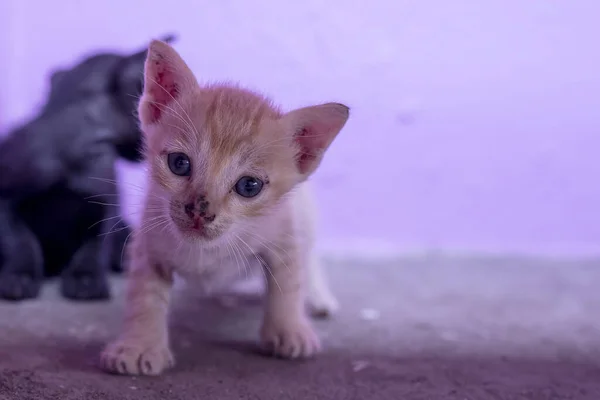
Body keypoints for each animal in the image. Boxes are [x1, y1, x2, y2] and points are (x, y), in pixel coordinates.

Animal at [101, 39, 350, 376]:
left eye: (249, 186)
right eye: (179, 163)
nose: (199, 211)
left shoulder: (284, 235)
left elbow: (288, 283)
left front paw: (288, 331)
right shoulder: (148, 241)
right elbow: (144, 296)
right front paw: (140, 345)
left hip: (305, 216)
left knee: (308, 257)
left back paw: (320, 297)